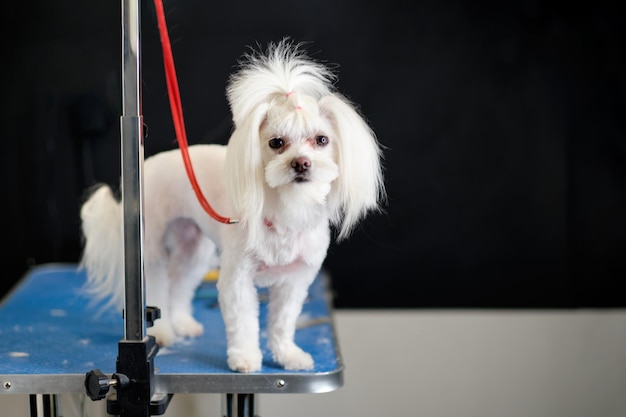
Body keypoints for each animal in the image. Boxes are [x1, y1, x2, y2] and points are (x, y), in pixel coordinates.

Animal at [78, 39, 386, 370]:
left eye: (322, 140)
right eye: (276, 143)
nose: (301, 163)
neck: (288, 208)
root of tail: (145, 166)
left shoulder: (295, 281)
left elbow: (283, 322)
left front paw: (287, 354)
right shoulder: (238, 278)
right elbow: (244, 323)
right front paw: (246, 358)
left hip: (195, 250)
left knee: (179, 283)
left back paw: (183, 322)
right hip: (150, 248)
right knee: (158, 287)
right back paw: (163, 331)